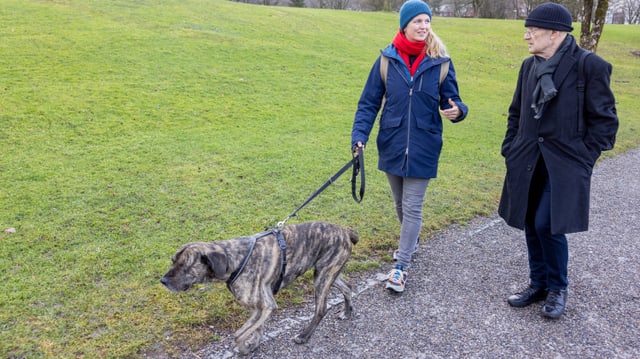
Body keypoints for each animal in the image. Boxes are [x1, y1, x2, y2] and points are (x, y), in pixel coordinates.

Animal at [159, 221, 358, 356]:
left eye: (184, 265)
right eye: (173, 261)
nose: (163, 281)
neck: (234, 259)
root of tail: (345, 230)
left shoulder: (267, 305)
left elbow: (238, 335)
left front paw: (245, 348)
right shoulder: (258, 307)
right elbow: (254, 329)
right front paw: (254, 342)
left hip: (323, 275)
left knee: (321, 309)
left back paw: (304, 335)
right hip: (328, 272)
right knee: (348, 287)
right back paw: (347, 311)